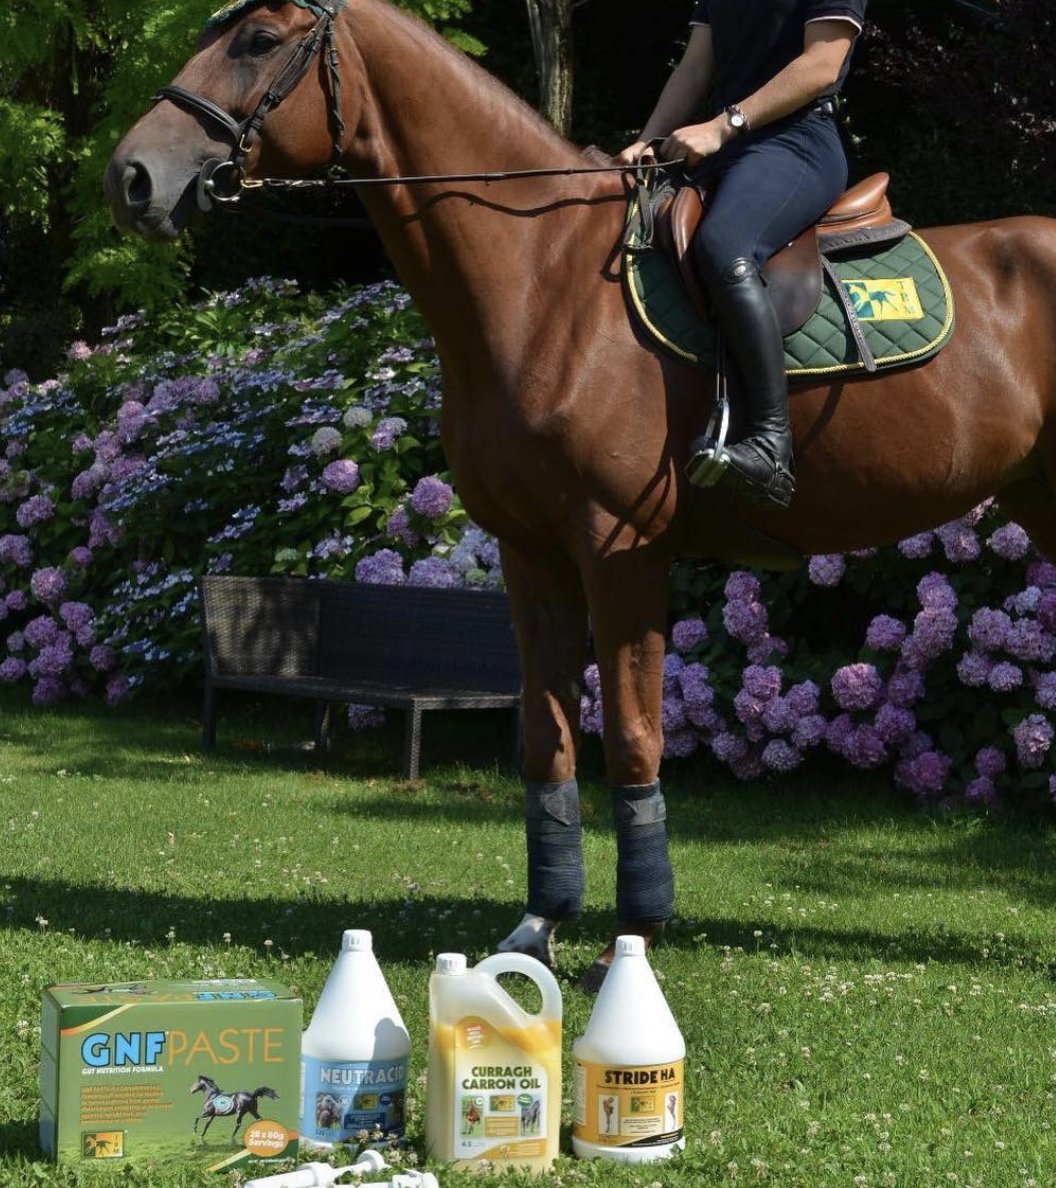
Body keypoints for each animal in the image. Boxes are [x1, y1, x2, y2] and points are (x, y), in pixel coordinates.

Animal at [106, 0, 1056, 989]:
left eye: (256, 40)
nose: (131, 178)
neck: (542, 279)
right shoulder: (533, 556)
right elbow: (547, 737)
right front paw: (539, 926)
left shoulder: (620, 552)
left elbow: (633, 737)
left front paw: (635, 933)